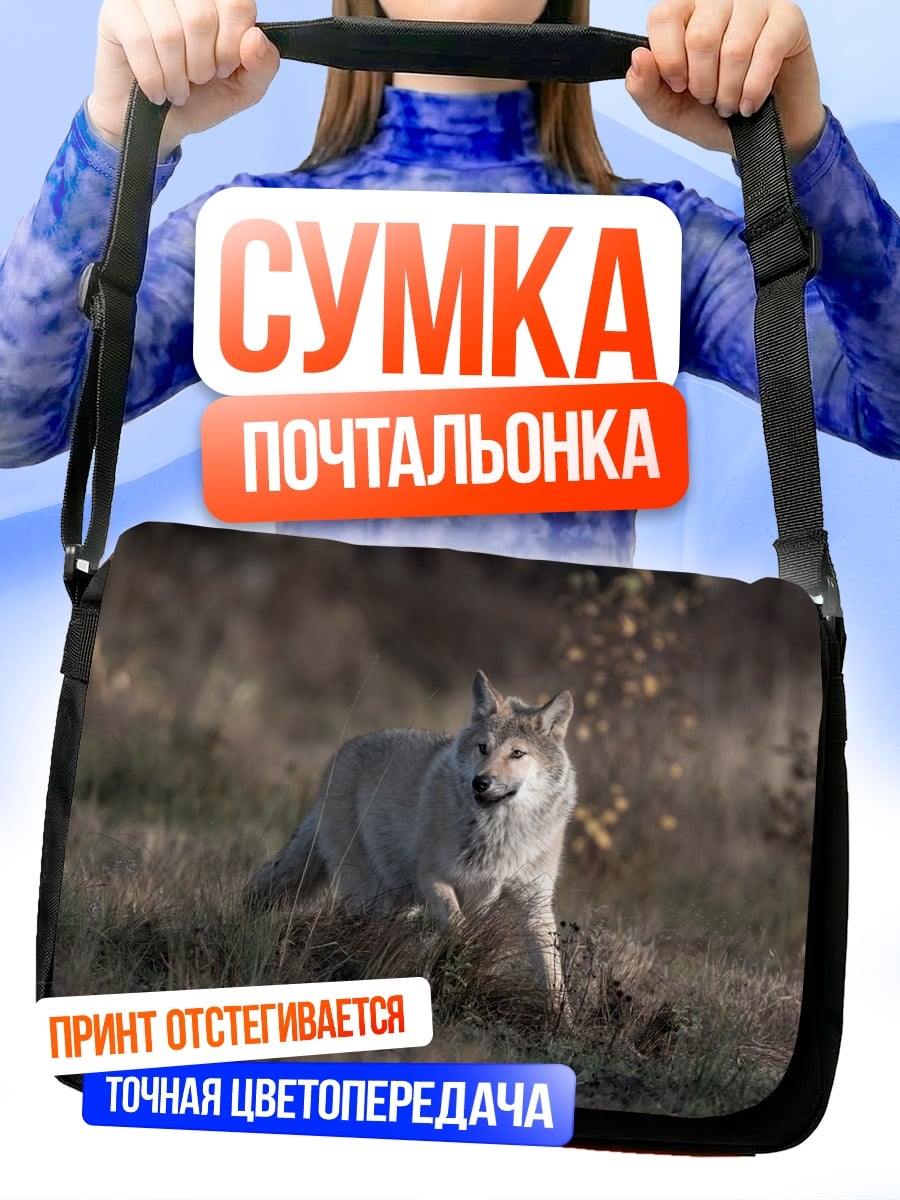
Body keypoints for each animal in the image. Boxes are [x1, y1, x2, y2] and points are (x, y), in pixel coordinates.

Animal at [245, 670, 577, 1004]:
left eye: (517, 753)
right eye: (483, 747)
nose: (480, 782)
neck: (501, 834)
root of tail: (336, 760)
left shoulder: (535, 904)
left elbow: (554, 977)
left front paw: (562, 1017)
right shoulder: (432, 877)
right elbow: (458, 927)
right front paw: (460, 960)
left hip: (398, 902)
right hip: (372, 898)